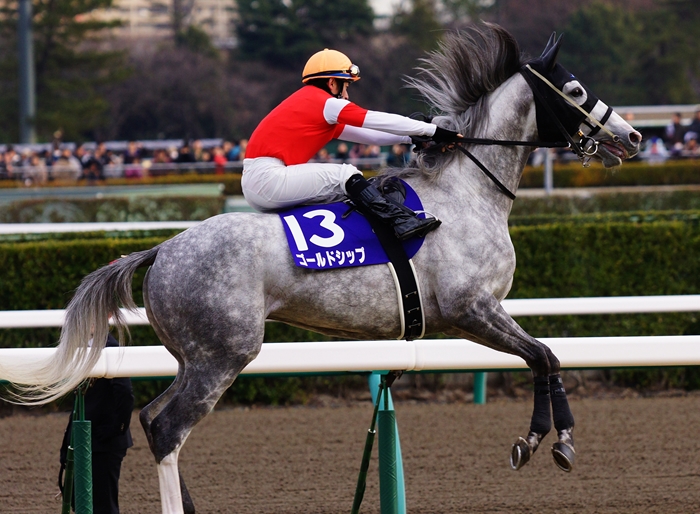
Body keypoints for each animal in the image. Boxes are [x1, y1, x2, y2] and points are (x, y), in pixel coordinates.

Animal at [3, 24, 640, 513]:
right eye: (576, 88)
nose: (632, 135)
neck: (466, 193)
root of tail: (160, 250)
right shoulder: (471, 310)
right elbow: (544, 355)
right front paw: (545, 440)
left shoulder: (479, 315)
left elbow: (546, 356)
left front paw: (551, 441)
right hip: (224, 354)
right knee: (167, 428)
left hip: (192, 356)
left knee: (153, 417)